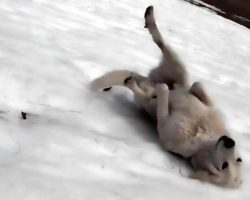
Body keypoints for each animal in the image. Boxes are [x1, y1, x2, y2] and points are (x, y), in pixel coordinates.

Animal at [91, 6, 242, 188]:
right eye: (239, 159)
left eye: (224, 166)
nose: (229, 141)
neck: (204, 138)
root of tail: (148, 78)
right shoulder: (210, 107)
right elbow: (198, 86)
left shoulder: (164, 128)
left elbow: (159, 96)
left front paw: (153, 92)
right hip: (179, 68)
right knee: (161, 43)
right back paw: (150, 17)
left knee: (148, 80)